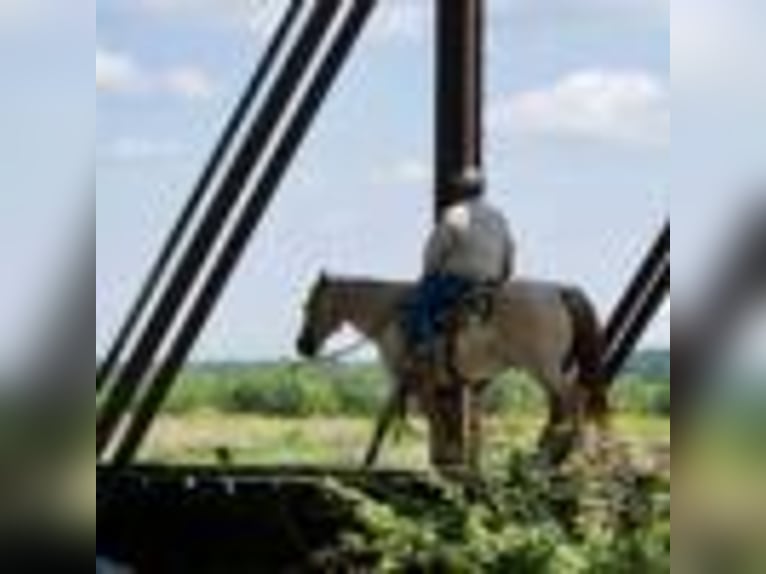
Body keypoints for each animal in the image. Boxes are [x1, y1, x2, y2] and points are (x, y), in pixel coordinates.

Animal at [296, 273, 609, 467]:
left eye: (309, 305)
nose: (303, 346)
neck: (391, 314)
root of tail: (559, 290)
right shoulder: (424, 381)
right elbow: (392, 421)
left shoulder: (410, 377)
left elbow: (429, 419)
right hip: (552, 368)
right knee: (571, 399)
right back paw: (561, 455)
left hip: (543, 367)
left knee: (568, 400)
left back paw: (560, 454)